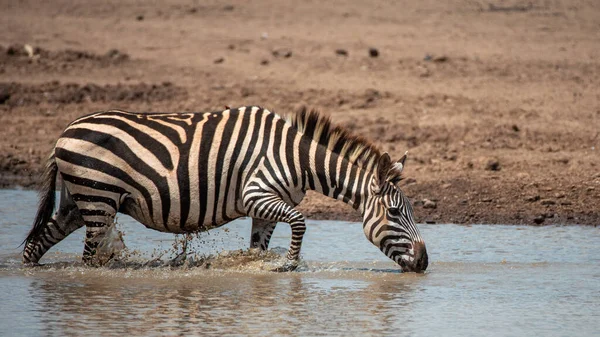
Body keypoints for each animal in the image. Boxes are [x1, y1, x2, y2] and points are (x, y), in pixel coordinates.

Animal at [22, 106, 426, 272]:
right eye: (394, 213)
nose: (424, 262)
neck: (296, 159)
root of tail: (64, 132)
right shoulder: (256, 194)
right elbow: (300, 223)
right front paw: (290, 266)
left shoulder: (266, 207)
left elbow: (259, 247)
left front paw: (262, 267)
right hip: (98, 199)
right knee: (89, 259)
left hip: (79, 202)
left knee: (35, 246)